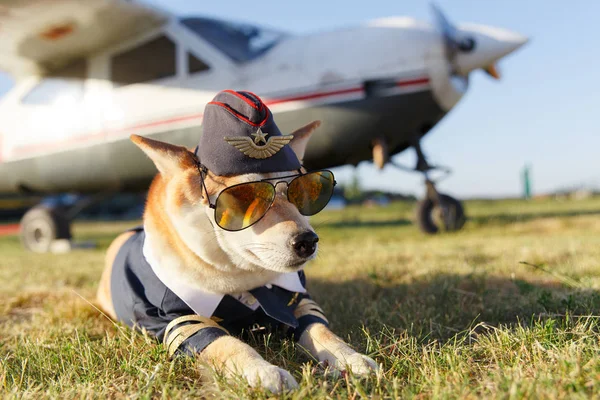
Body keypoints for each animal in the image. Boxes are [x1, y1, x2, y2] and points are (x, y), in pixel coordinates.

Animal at [96, 89, 378, 392]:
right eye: (245, 196)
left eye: (303, 191)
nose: (307, 241)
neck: (247, 283)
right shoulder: (178, 321)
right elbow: (229, 344)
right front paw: (263, 371)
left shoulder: (300, 302)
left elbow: (322, 331)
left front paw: (351, 358)